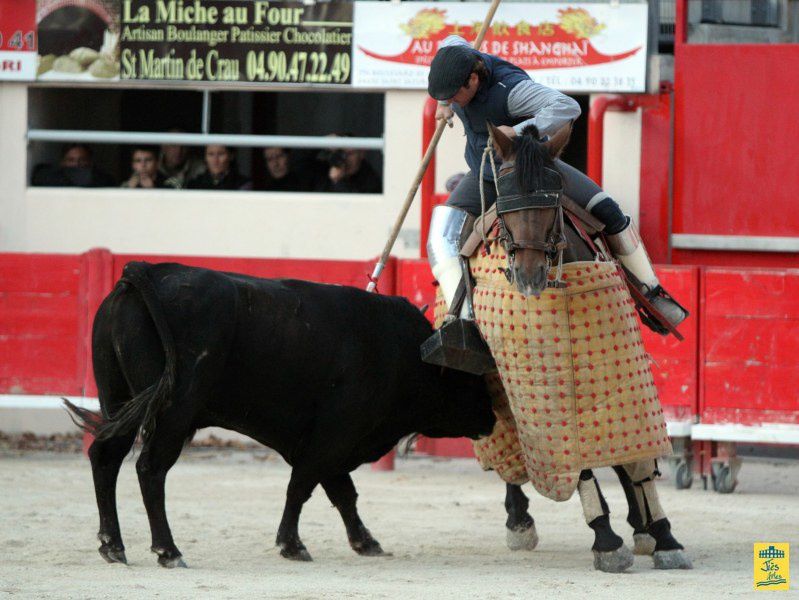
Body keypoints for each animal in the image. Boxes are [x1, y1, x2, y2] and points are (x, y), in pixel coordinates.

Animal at [65, 262, 496, 568]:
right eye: (472, 380)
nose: (493, 418)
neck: (404, 353)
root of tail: (146, 270)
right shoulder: (333, 435)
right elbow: (302, 486)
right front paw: (292, 545)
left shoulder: (331, 443)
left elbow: (342, 493)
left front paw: (366, 542)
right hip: (174, 411)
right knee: (151, 469)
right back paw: (168, 551)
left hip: (118, 399)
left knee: (105, 457)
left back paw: (113, 546)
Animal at [468, 123, 692, 572]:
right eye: (503, 200)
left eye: (553, 195)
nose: (530, 276)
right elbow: (577, 460)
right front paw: (606, 540)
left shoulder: (620, 370)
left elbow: (635, 459)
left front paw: (663, 536)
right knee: (508, 442)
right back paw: (519, 522)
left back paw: (641, 527)